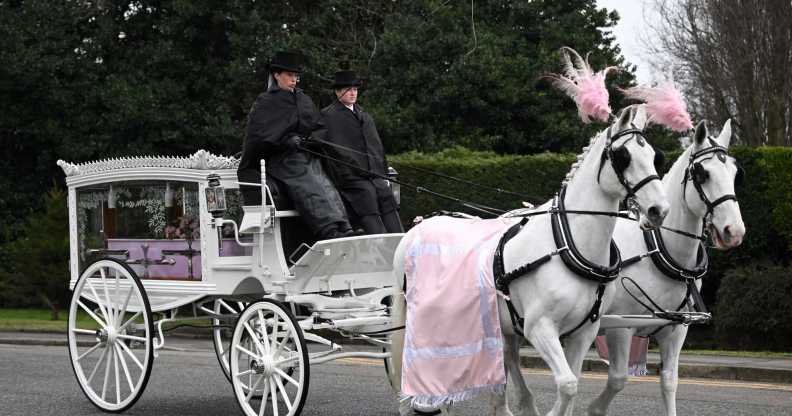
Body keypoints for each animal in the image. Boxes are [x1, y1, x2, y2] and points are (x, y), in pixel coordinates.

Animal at [388, 105, 668, 416]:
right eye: (623, 156)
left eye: (654, 156)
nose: (659, 210)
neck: (567, 246)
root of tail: (415, 229)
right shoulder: (539, 328)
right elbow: (568, 384)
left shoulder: (584, 332)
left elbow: (572, 383)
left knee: (504, 359)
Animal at [584, 118, 744, 416]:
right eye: (702, 174)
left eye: (736, 173)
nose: (734, 231)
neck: (656, 249)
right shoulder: (621, 326)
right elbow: (618, 378)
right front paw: (594, 408)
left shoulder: (676, 329)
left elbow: (669, 381)